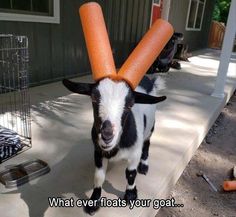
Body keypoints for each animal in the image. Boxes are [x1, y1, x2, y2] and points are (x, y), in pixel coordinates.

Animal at [62, 75, 166, 214]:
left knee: (147, 143)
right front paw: (93, 203)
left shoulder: (134, 153)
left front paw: (131, 195)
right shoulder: (98, 152)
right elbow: (99, 176)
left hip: (150, 127)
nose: (107, 136)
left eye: (130, 104)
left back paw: (144, 166)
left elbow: (131, 174)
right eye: (93, 98)